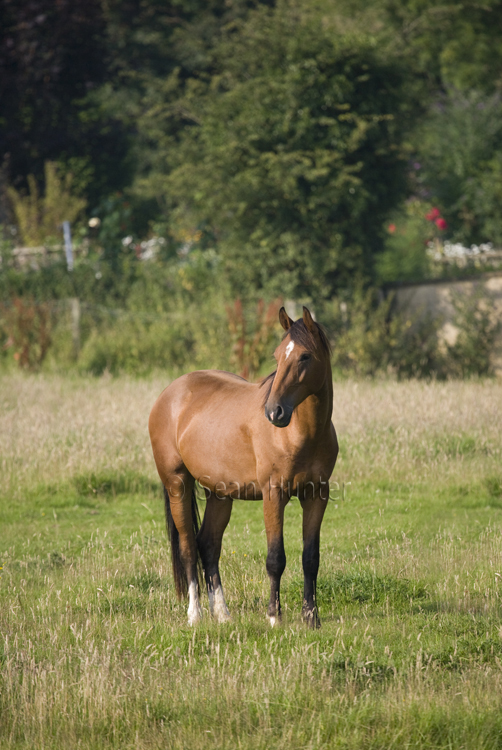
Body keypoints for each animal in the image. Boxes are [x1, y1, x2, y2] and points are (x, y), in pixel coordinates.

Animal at [148, 306, 338, 628]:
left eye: (304, 356)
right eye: (277, 356)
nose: (274, 412)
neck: (303, 433)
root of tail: (169, 394)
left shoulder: (316, 495)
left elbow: (310, 558)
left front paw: (312, 619)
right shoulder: (274, 495)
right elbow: (276, 558)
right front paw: (274, 617)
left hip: (219, 493)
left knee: (208, 545)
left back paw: (222, 614)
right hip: (177, 485)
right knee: (188, 548)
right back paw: (195, 615)